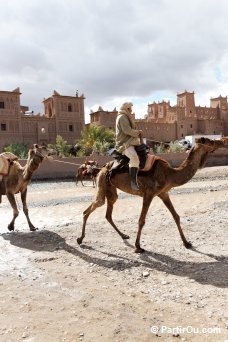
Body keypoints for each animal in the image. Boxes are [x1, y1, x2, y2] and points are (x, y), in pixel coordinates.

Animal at [77, 138, 227, 252]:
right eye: (209, 141)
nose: (222, 141)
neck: (170, 174)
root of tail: (101, 168)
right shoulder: (148, 193)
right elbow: (141, 220)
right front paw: (138, 247)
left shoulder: (163, 193)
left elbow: (176, 216)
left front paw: (187, 243)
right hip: (102, 183)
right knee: (91, 208)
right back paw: (80, 239)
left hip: (111, 190)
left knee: (108, 213)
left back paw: (124, 235)